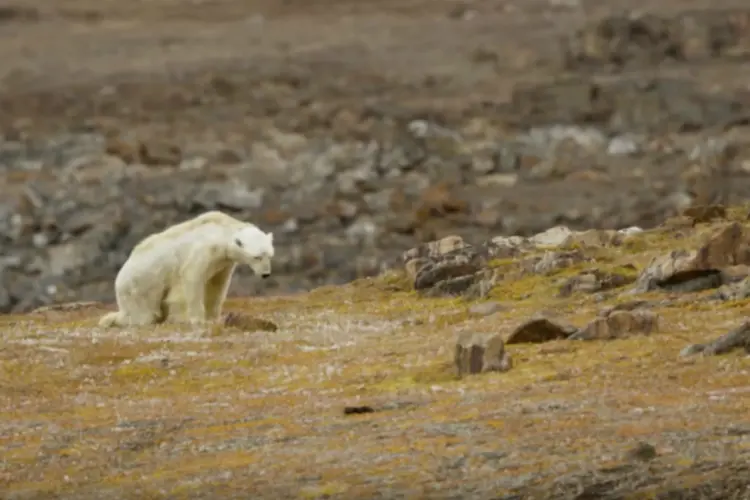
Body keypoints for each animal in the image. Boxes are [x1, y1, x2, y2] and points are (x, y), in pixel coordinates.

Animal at [100, 211, 274, 328]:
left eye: (269, 255)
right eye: (257, 257)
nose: (266, 274)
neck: (219, 230)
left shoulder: (222, 262)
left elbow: (217, 285)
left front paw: (213, 317)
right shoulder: (203, 251)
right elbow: (192, 279)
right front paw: (197, 319)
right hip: (140, 285)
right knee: (143, 314)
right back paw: (110, 319)